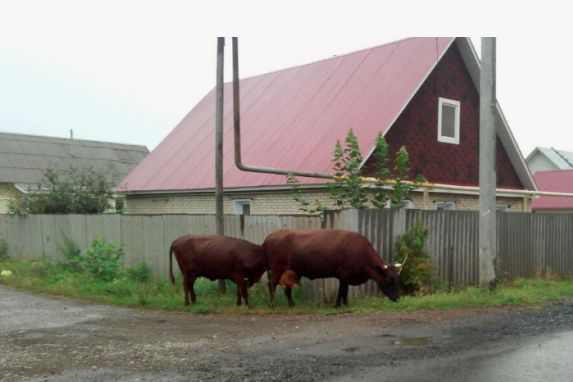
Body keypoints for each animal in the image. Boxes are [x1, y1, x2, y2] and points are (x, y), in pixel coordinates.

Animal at [262, 230, 400, 308]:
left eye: (397, 279)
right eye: (389, 280)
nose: (397, 298)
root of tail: (270, 236)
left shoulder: (343, 277)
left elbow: (341, 290)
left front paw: (340, 304)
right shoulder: (344, 274)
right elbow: (343, 290)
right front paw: (343, 305)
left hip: (289, 271)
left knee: (287, 288)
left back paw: (291, 304)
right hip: (276, 269)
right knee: (272, 284)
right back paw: (272, 304)